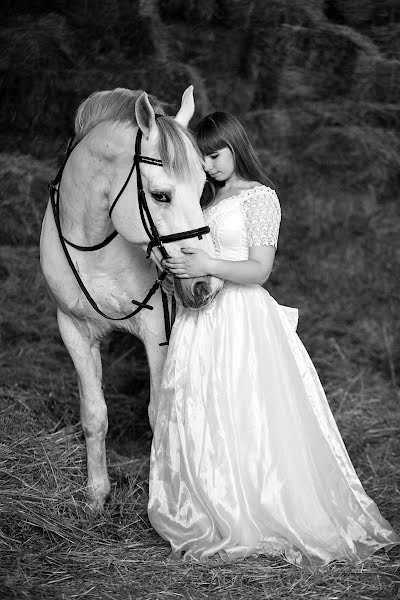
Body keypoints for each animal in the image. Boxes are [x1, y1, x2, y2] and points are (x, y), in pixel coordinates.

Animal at [39, 86, 222, 508]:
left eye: (202, 190)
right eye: (160, 195)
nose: (203, 284)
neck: (94, 245)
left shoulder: (157, 333)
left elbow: (159, 416)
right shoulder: (73, 331)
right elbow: (94, 415)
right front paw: (96, 495)